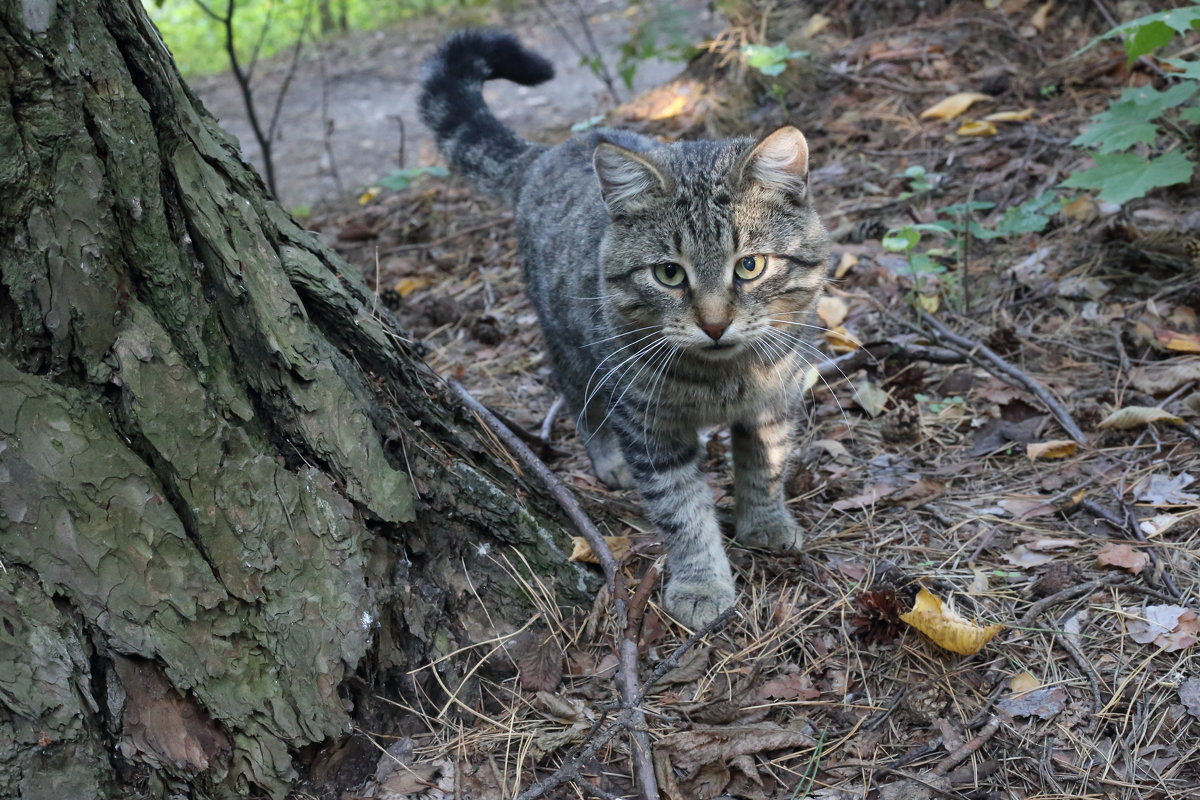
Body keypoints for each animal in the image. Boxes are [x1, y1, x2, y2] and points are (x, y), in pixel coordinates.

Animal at [424, 31, 835, 623]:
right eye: (669, 274)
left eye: (750, 266)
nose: (714, 324)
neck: (724, 379)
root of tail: (548, 153)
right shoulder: (649, 426)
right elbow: (682, 511)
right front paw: (701, 583)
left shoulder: (775, 399)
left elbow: (766, 466)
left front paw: (764, 522)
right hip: (573, 346)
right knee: (577, 397)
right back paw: (607, 458)